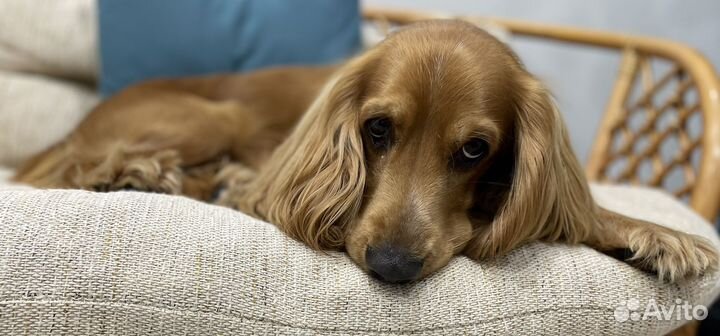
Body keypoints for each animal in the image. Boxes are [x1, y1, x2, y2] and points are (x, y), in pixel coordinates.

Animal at [14, 20, 716, 284]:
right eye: (377, 130)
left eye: (475, 149)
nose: (391, 265)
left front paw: (651, 236)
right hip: (212, 114)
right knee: (69, 169)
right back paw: (139, 174)